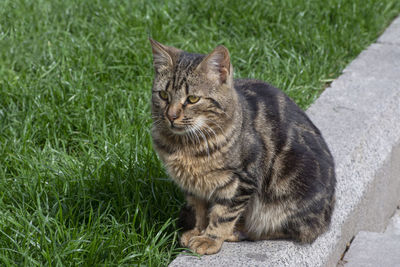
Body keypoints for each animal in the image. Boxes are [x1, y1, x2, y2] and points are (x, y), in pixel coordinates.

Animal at [148, 38, 336, 256]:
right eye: (163, 95)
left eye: (193, 99)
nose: (171, 115)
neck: (186, 144)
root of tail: (327, 219)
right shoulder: (193, 186)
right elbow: (199, 209)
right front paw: (196, 230)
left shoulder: (241, 180)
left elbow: (222, 214)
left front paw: (209, 239)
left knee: (287, 230)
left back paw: (239, 231)